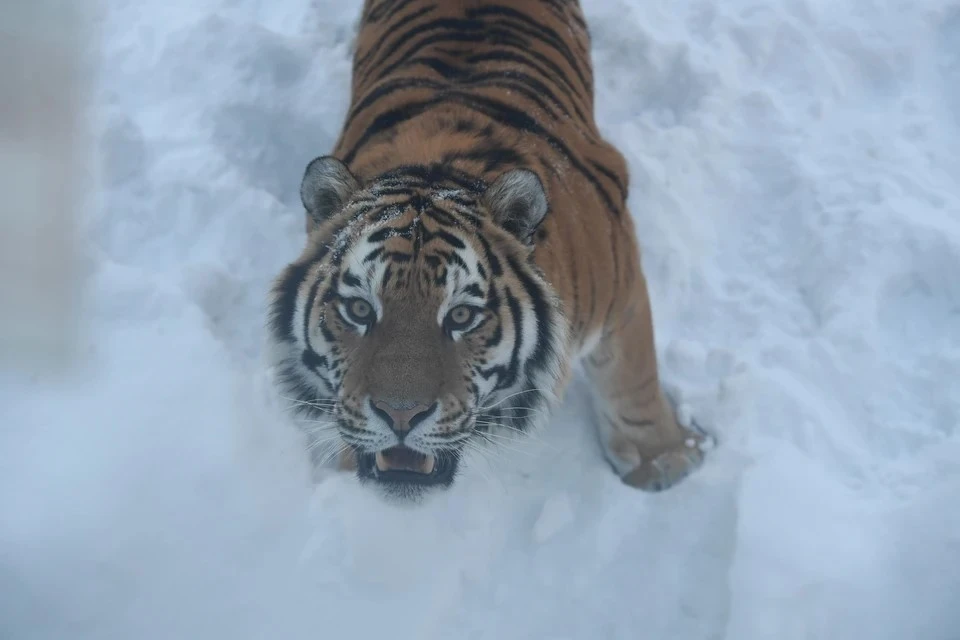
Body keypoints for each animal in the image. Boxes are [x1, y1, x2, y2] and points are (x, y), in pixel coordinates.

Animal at [266, 0, 708, 502]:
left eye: (462, 316)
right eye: (359, 309)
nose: (400, 416)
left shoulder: (623, 289)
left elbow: (633, 381)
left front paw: (665, 462)